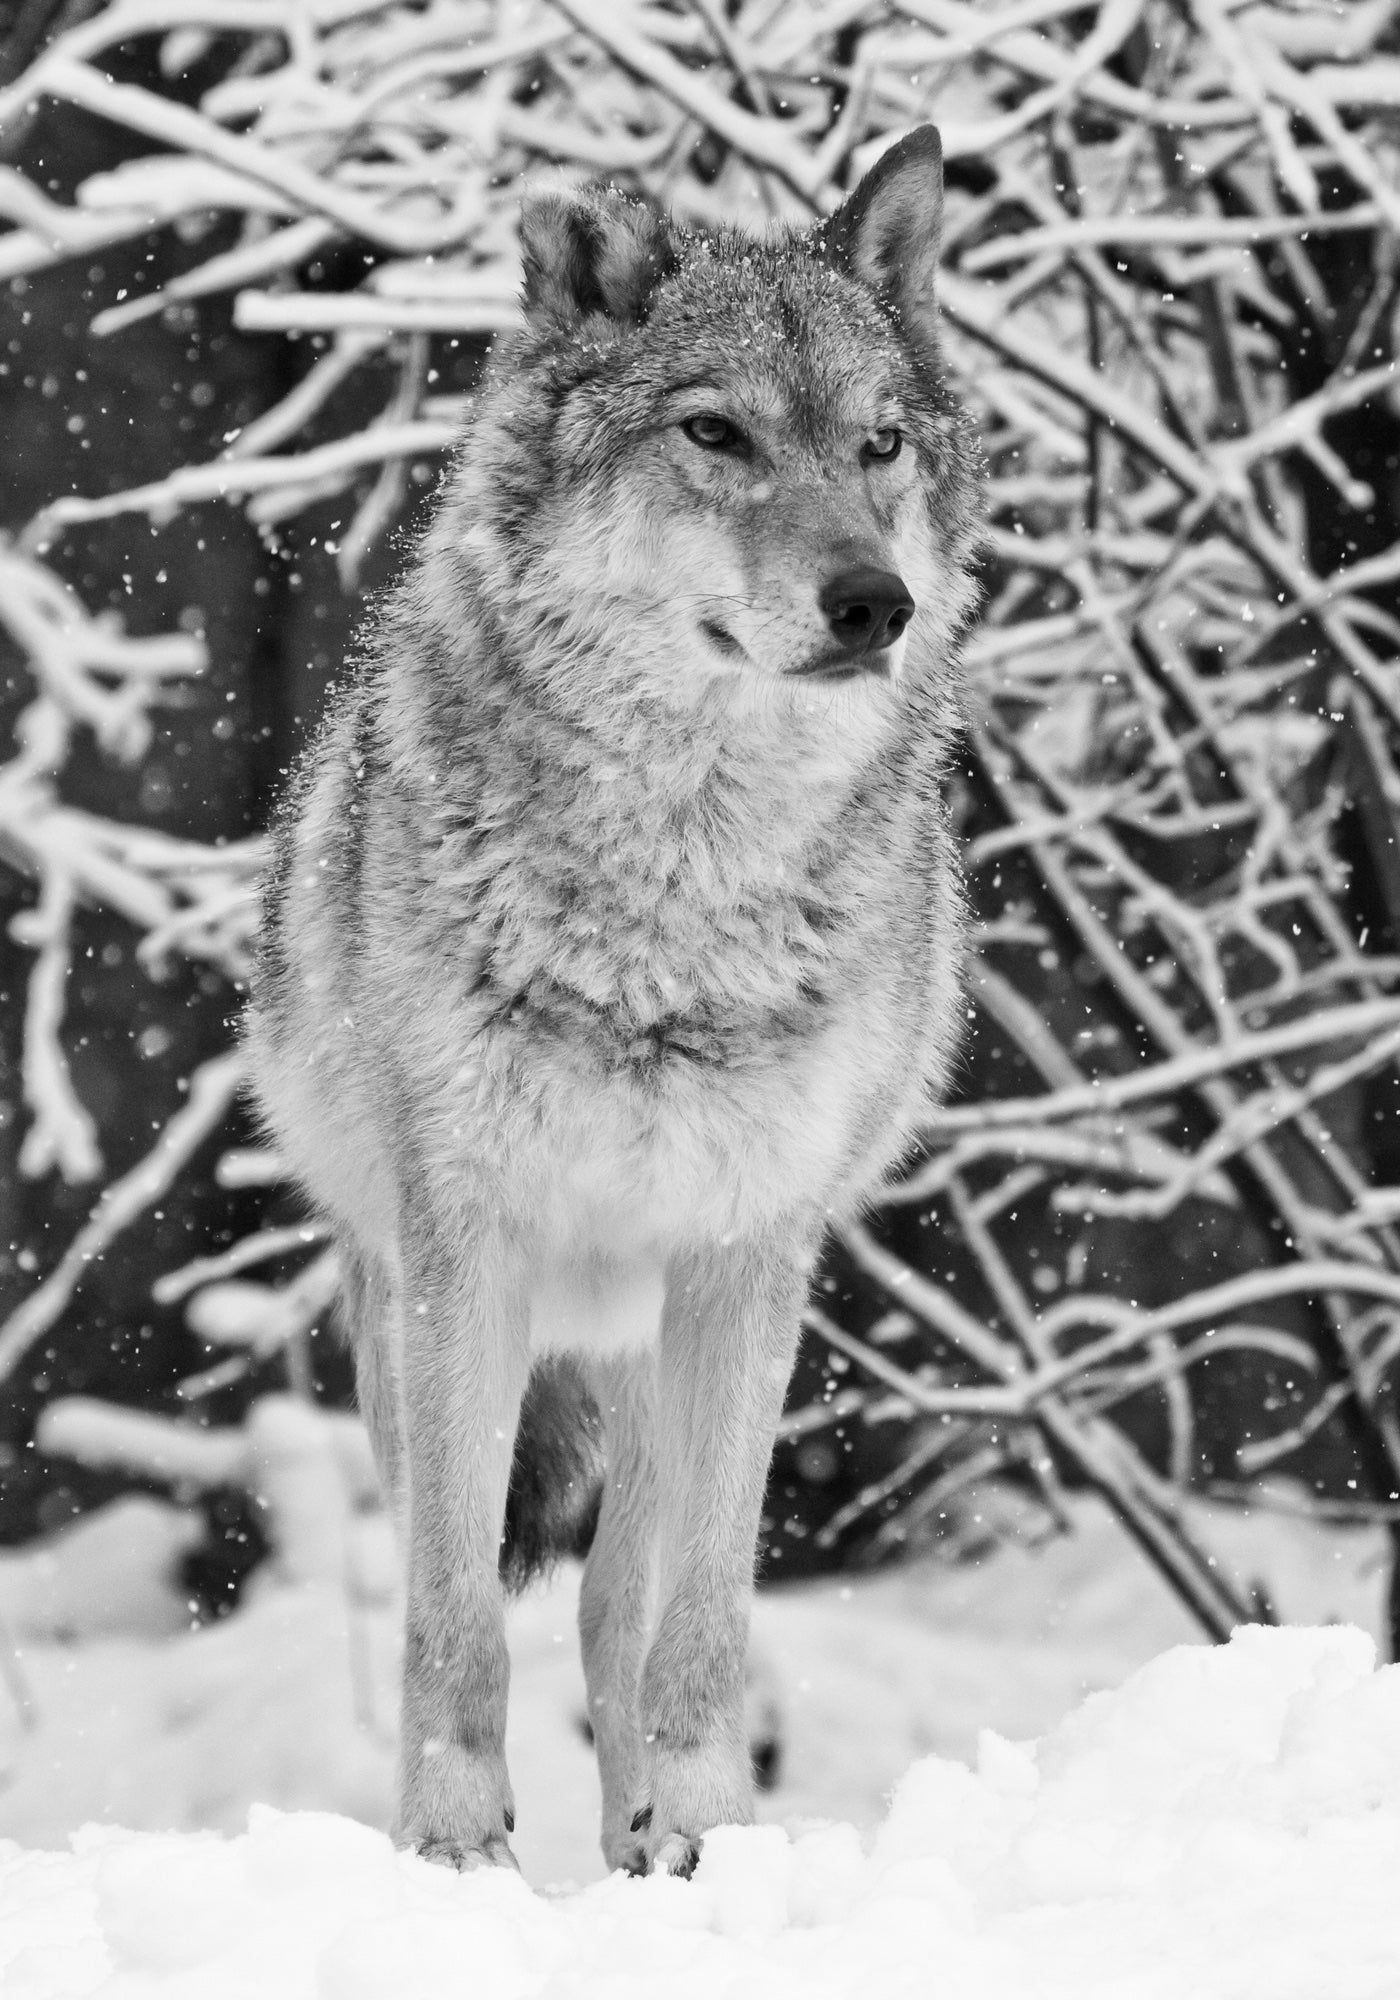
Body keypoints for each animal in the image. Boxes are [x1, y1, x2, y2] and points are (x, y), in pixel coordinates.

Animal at [247, 122, 982, 1878]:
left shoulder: (746, 1256)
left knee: (613, 1616)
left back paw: (648, 1835)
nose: (875, 602)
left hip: (653, 1351)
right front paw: (454, 1859)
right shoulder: (464, 1257)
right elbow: (450, 1620)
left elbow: (697, 1624)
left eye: (879, 446)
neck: (680, 897)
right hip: (409, 1328)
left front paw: (709, 1837)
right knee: (488, 1582)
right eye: (716, 432)